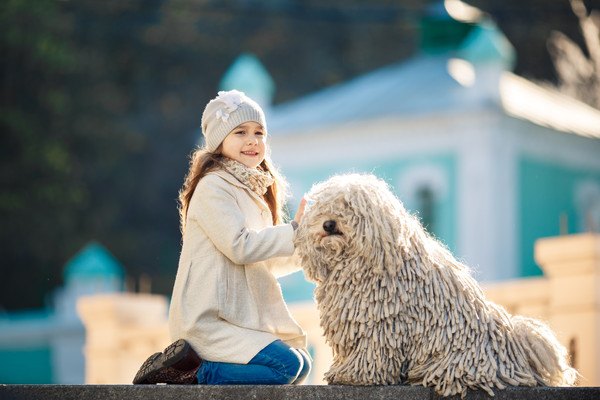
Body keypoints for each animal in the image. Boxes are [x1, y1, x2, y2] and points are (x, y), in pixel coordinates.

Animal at [294, 174, 576, 396]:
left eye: (348, 206)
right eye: (323, 208)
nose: (329, 223)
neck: (355, 263)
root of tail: (513, 355)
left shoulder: (382, 322)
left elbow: (372, 349)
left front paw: (356, 375)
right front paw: (343, 371)